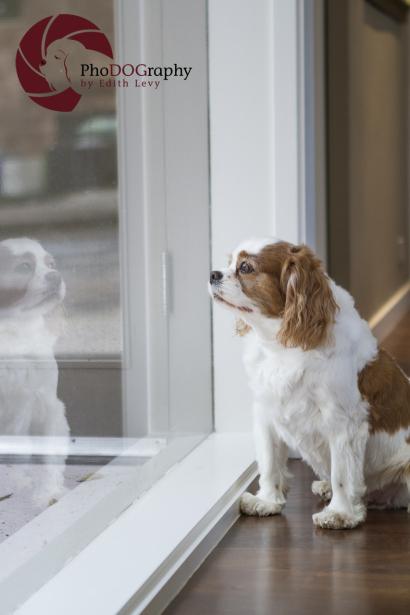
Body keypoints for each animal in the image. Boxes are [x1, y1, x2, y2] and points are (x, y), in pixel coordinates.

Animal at [210, 238, 408, 532]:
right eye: (229, 262)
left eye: (245, 267)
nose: (213, 274)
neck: (282, 345)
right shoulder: (266, 412)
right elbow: (269, 462)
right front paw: (267, 501)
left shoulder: (343, 423)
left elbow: (342, 474)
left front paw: (340, 513)